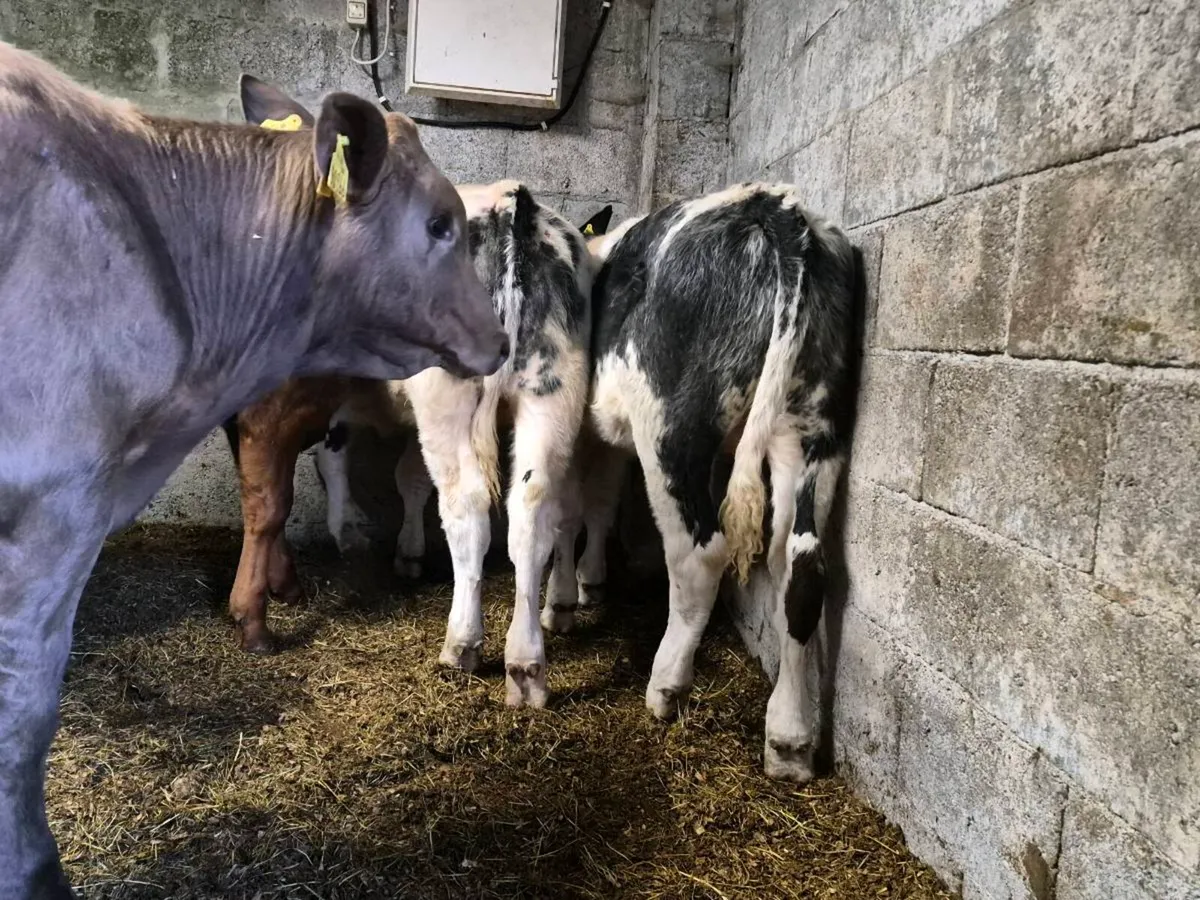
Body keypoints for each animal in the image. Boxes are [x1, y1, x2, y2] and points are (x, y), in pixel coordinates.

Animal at [0, 43, 506, 900]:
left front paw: (271, 594)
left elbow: (269, 503)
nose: (498, 338)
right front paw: (259, 609)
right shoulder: (60, 500)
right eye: (440, 223)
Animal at [544, 184, 857, 783]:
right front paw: (588, 584)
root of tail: (773, 208)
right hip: (813, 427)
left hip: (673, 426)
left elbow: (568, 512)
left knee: (699, 553)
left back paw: (665, 685)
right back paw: (789, 741)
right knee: (802, 568)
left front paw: (561, 603)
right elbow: (596, 505)